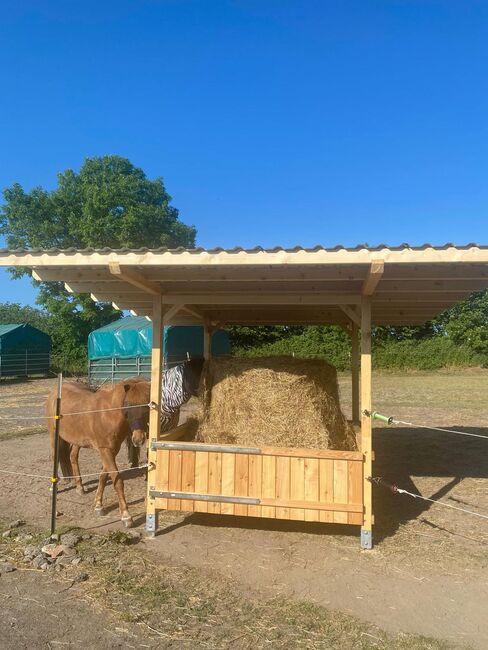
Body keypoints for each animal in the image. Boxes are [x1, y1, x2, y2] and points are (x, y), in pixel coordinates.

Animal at [48, 378, 152, 524]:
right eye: (127, 407)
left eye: (147, 408)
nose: (138, 439)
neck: (108, 414)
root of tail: (54, 393)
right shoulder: (105, 450)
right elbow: (117, 481)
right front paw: (126, 515)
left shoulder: (112, 450)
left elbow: (103, 476)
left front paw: (98, 505)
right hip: (54, 435)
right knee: (55, 457)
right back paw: (54, 487)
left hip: (77, 441)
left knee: (73, 456)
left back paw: (79, 487)